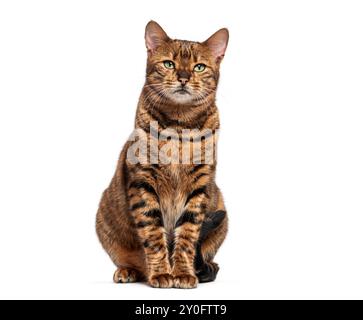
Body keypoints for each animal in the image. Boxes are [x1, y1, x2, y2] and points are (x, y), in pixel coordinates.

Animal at [95, 20, 229, 290]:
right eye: (169, 63)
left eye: (199, 67)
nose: (184, 78)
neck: (179, 125)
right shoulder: (143, 182)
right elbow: (153, 235)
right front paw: (160, 273)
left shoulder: (200, 185)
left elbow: (187, 236)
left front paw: (183, 273)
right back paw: (130, 271)